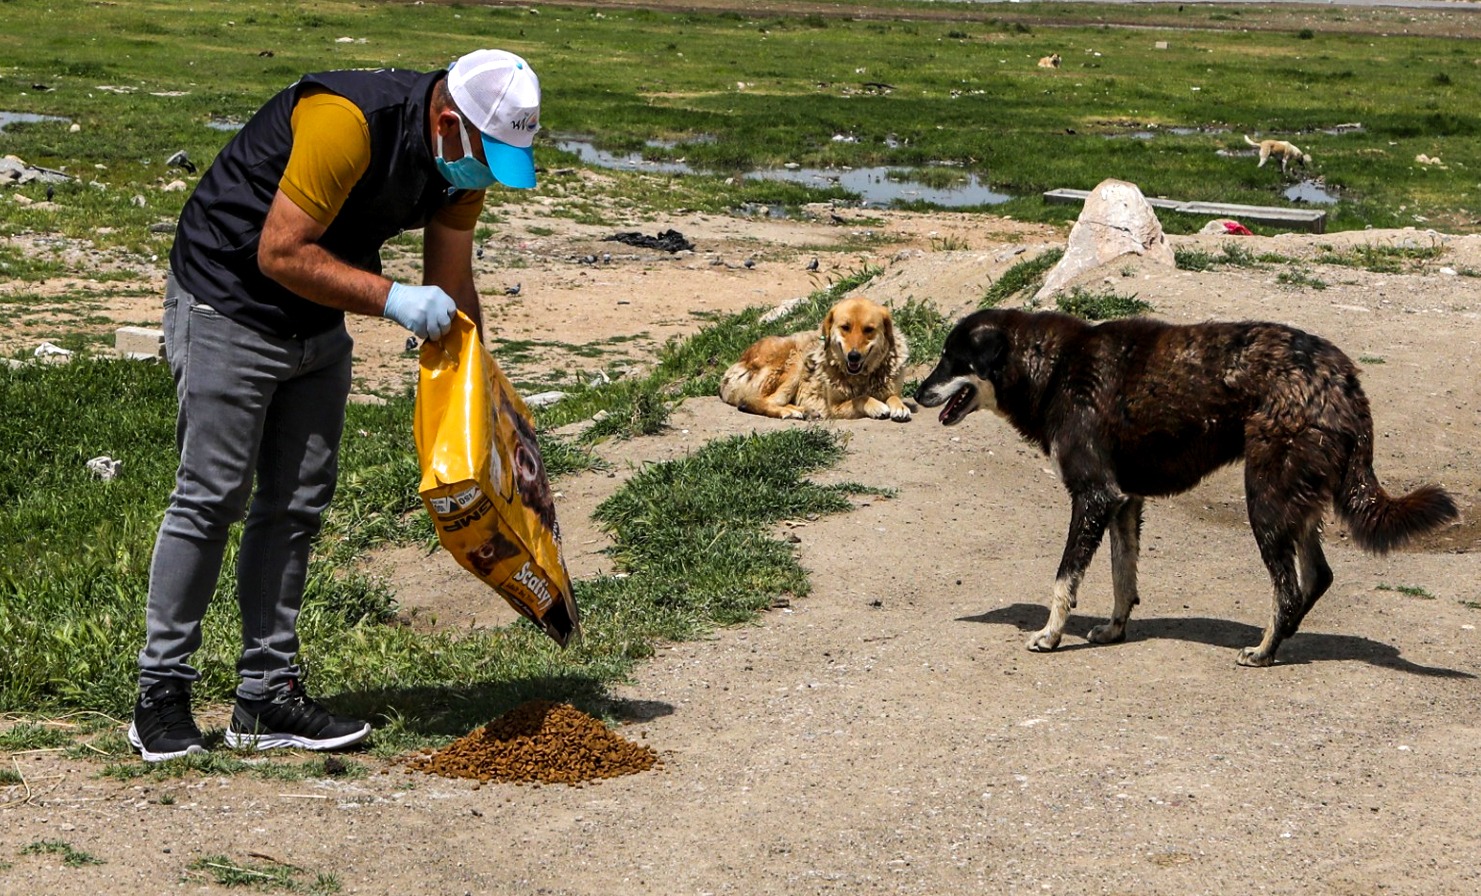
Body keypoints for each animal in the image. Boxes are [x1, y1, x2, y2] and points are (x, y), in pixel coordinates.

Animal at [719, 293, 912, 420]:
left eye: (869, 329)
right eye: (845, 327)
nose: (854, 356)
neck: (862, 377)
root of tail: (737, 363)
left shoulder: (890, 389)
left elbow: (893, 396)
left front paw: (899, 406)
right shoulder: (835, 407)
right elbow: (860, 398)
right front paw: (877, 405)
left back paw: (804, 410)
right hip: (796, 361)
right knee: (751, 401)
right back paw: (791, 411)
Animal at [912, 308, 1457, 663]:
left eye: (952, 358)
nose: (915, 394)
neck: (1055, 367)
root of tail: (1341, 374)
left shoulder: (1093, 497)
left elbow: (1065, 578)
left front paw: (1049, 636)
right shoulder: (1123, 502)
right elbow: (1122, 577)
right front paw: (1115, 629)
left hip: (1264, 500)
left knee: (1286, 588)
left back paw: (1264, 650)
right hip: (1292, 499)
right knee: (1315, 577)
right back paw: (1283, 637)